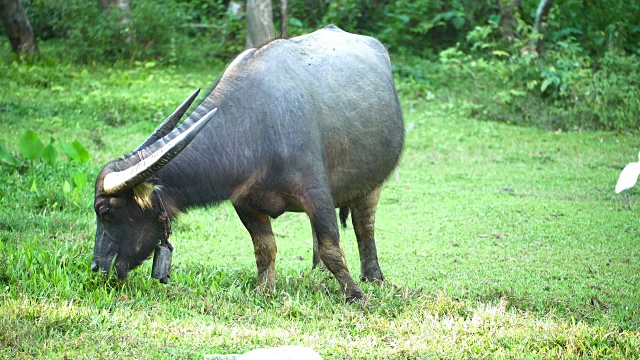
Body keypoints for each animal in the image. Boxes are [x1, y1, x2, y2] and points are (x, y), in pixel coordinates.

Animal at [92, 24, 402, 300]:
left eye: (105, 211)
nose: (96, 266)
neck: (254, 128)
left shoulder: (317, 195)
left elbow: (332, 247)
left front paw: (355, 295)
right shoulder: (244, 203)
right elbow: (265, 248)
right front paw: (264, 290)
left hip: (371, 183)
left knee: (364, 226)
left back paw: (373, 276)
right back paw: (320, 274)